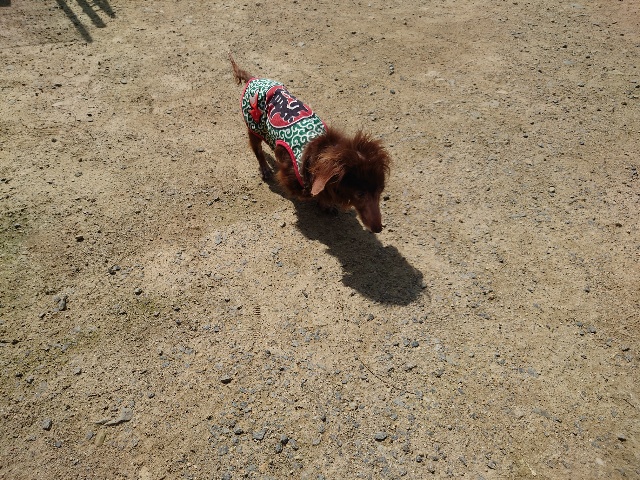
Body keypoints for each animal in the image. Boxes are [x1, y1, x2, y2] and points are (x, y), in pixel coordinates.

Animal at [229, 54, 390, 233]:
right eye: (360, 194)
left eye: (380, 191)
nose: (378, 228)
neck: (319, 149)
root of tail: (253, 79)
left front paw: (326, 204)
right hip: (254, 128)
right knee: (257, 151)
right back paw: (265, 169)